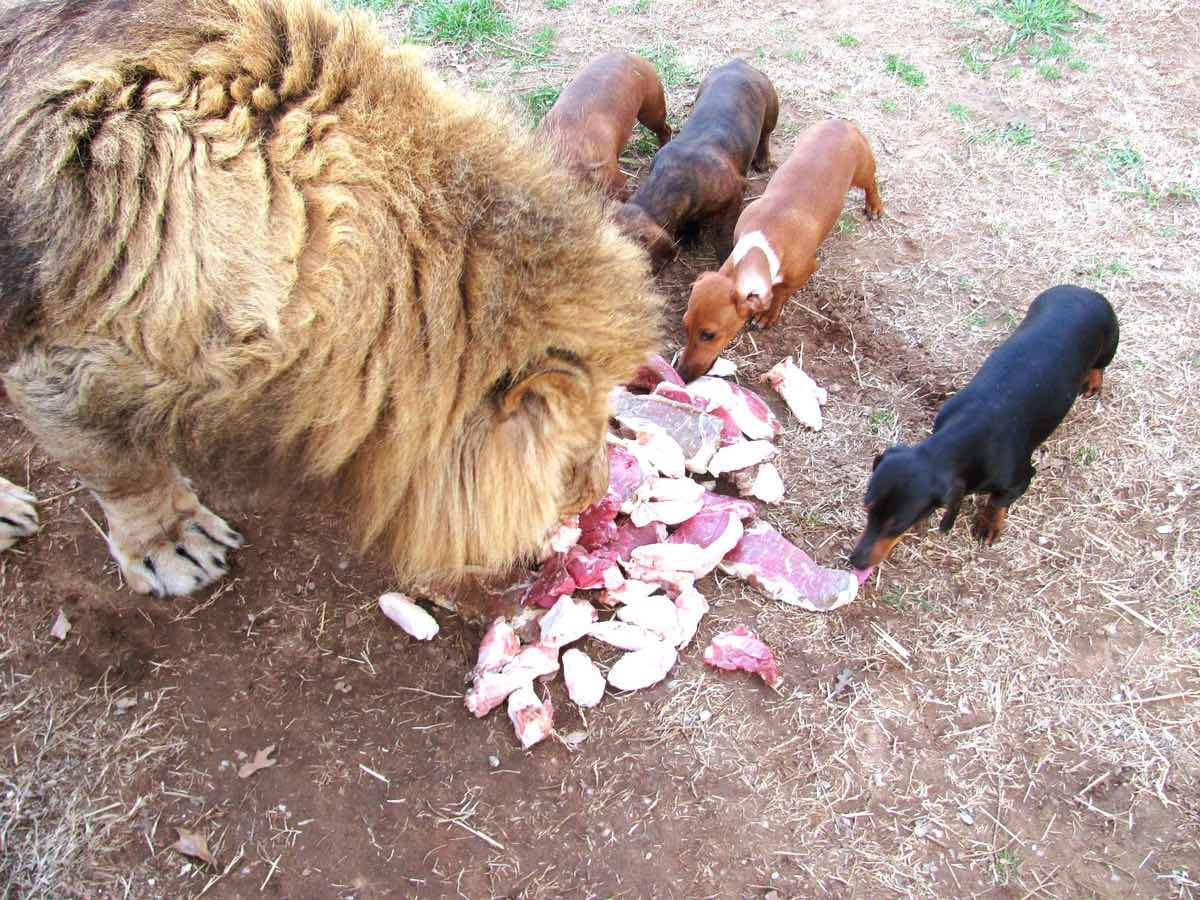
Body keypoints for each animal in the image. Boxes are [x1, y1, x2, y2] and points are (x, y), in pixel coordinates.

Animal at [681, 118, 888, 381]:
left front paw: (767, 315)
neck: (765, 238)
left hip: (862, 169)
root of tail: (840, 123)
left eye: (709, 334)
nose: (682, 375)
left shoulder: (804, 270)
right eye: (685, 325)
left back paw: (874, 205)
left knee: (872, 182)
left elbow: (781, 293)